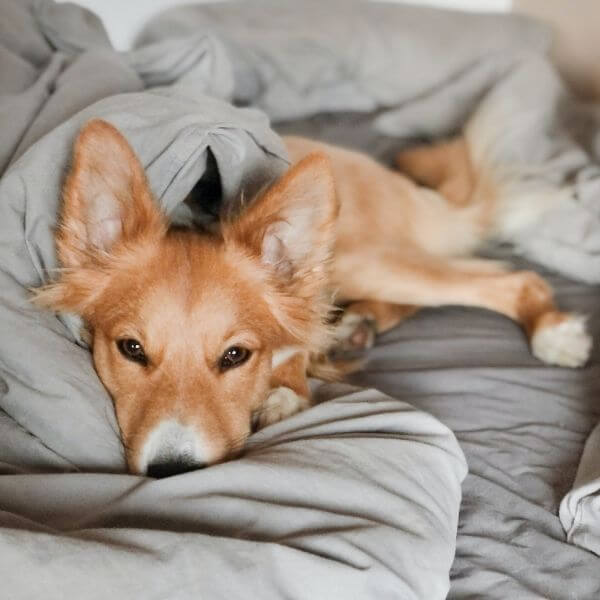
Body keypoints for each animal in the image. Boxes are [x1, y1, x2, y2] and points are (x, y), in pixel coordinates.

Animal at [35, 119, 592, 476]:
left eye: (235, 355)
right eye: (131, 349)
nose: (171, 471)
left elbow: (296, 342)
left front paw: (285, 390)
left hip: (359, 257)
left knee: (512, 278)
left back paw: (553, 332)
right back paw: (356, 327)